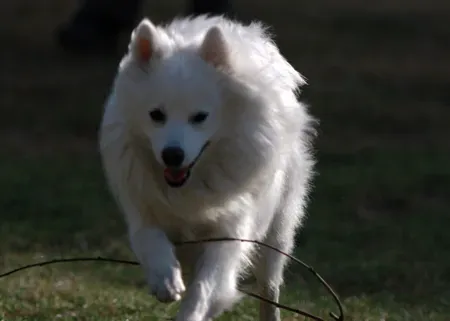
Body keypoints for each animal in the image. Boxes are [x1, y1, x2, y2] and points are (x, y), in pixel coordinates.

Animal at [100, 14, 314, 320]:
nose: (172, 155)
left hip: (277, 234)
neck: (192, 183)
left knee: (269, 287)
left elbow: (206, 288)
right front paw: (165, 278)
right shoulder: (143, 210)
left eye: (200, 117)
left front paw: (191, 311)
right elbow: (150, 239)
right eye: (156, 115)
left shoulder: (229, 232)